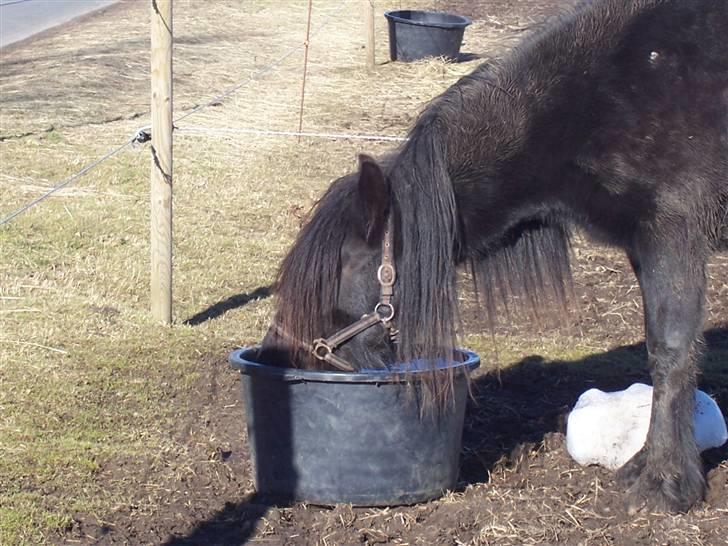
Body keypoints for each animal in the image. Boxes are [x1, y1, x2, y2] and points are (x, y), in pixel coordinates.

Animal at [260, 0, 728, 514]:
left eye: (344, 266)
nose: (281, 351)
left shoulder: (672, 235)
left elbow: (671, 352)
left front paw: (665, 482)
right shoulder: (643, 246)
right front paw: (647, 463)